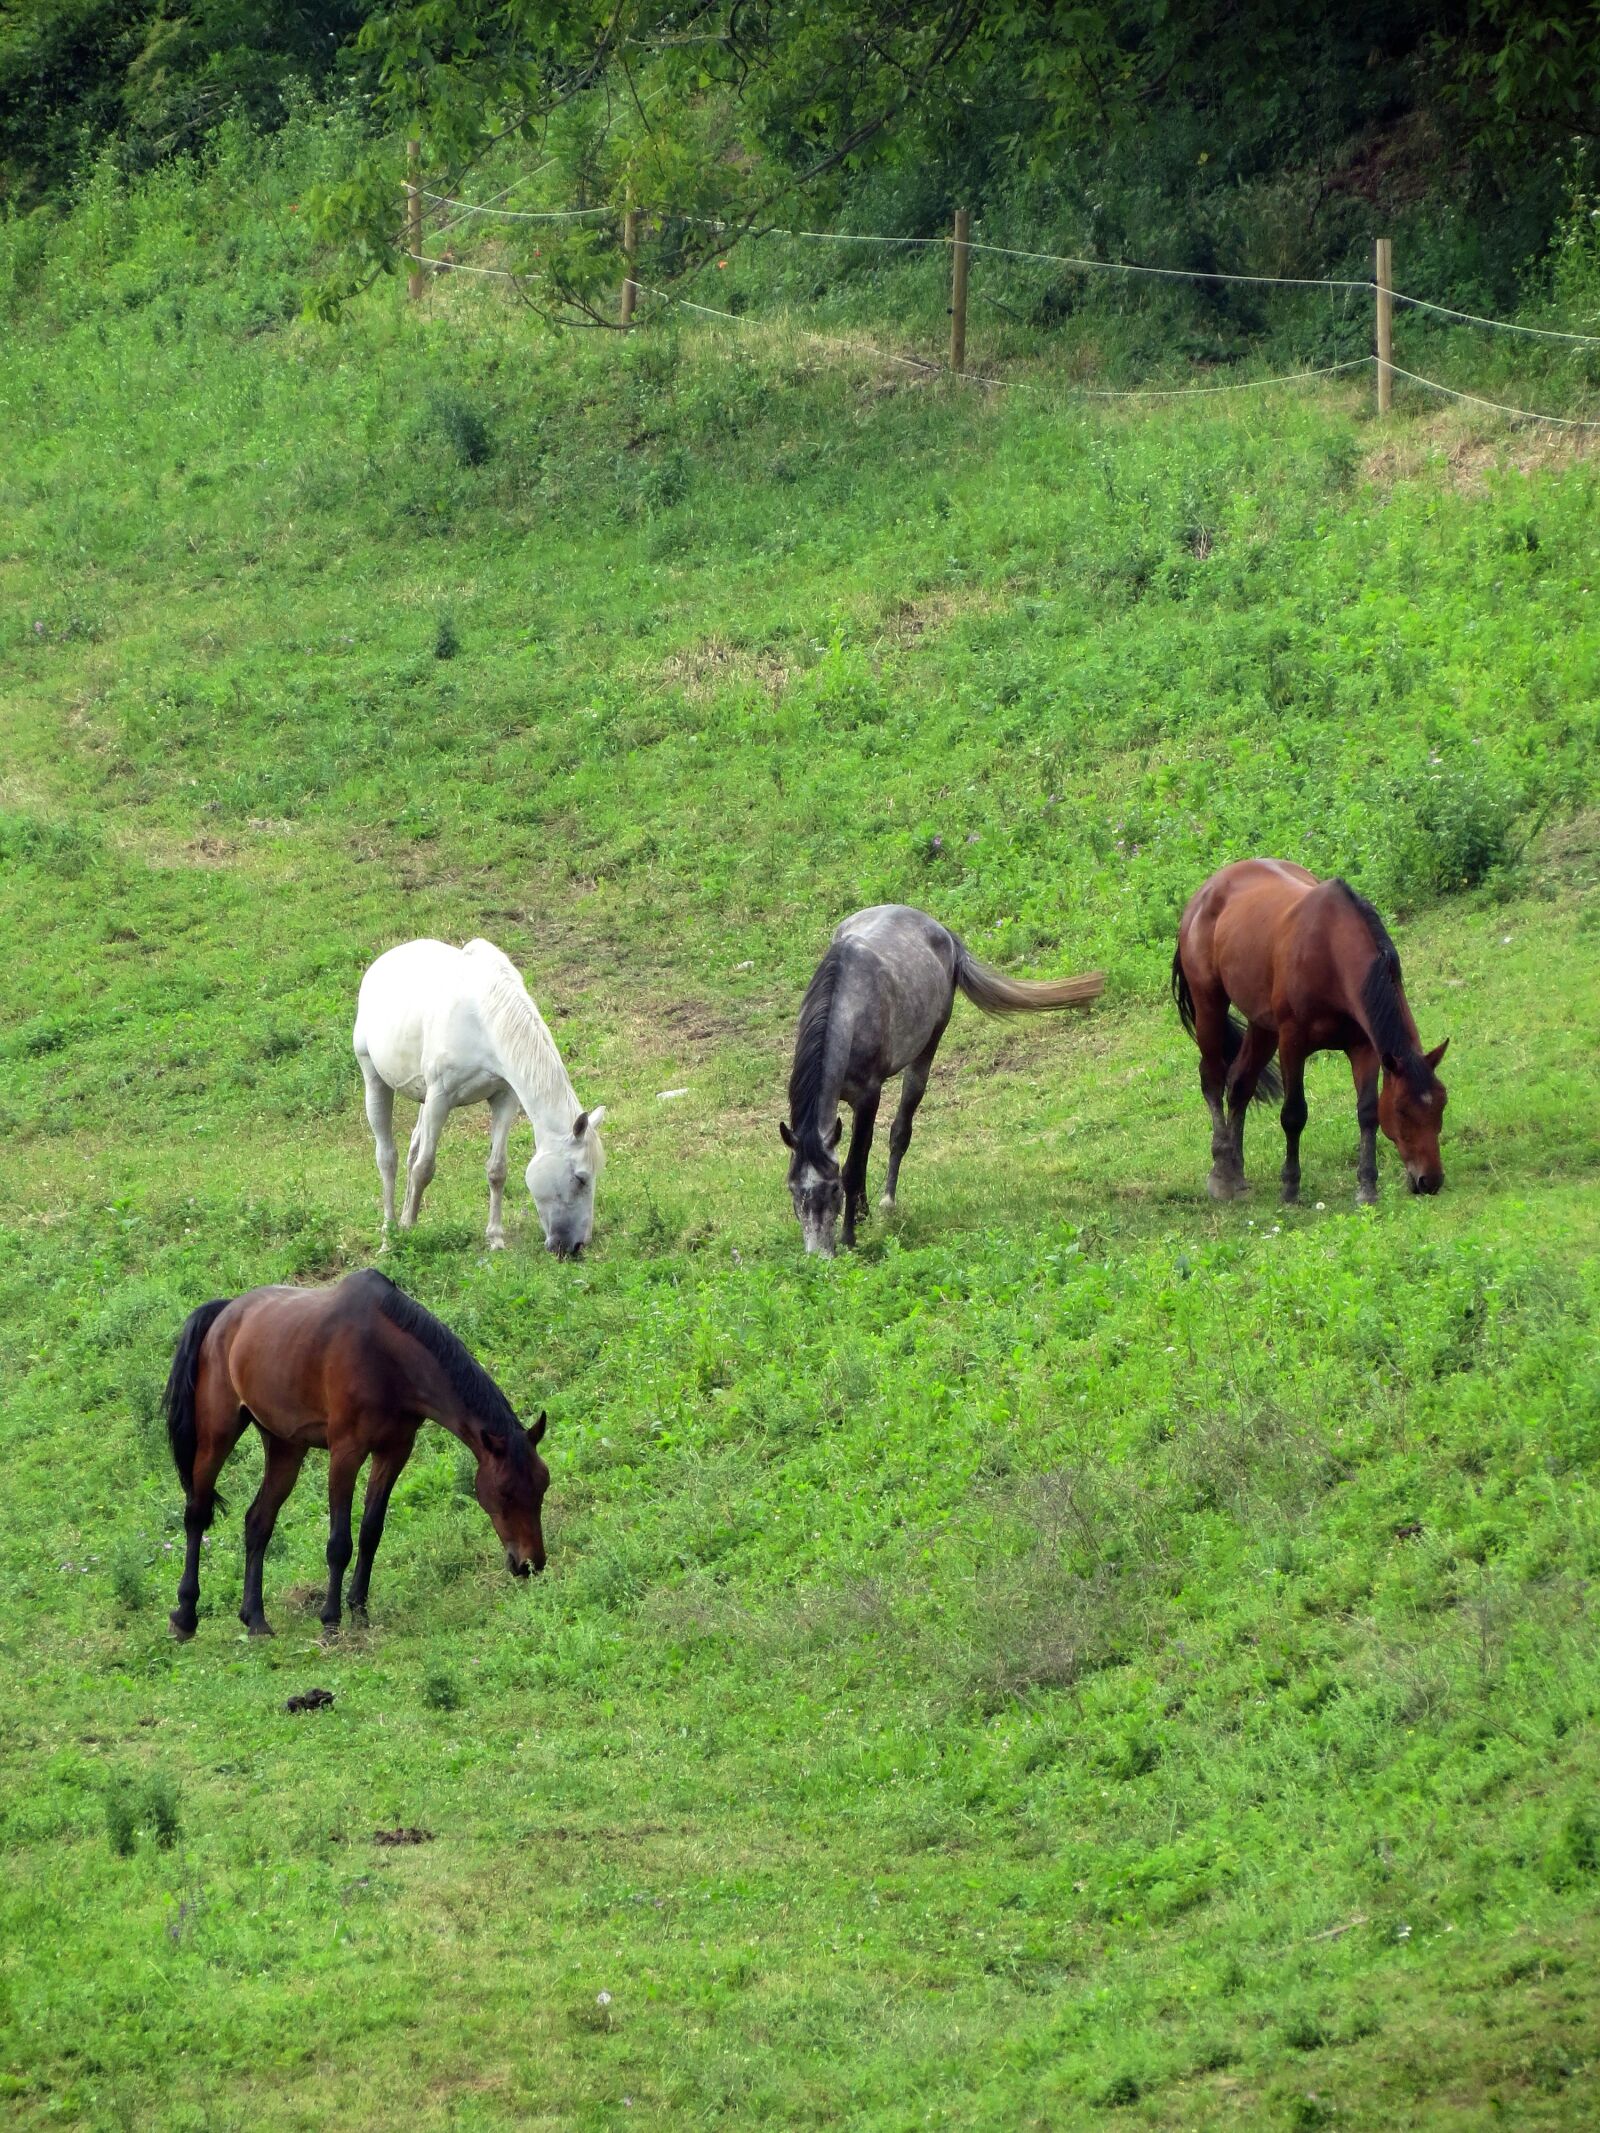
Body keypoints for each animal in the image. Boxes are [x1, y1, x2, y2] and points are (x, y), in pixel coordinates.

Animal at [163, 1271, 550, 1638]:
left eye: (542, 1487)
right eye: (505, 1493)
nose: (530, 1563)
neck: (385, 1356)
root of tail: (225, 1313)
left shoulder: (394, 1452)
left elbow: (370, 1533)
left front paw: (360, 1612)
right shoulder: (345, 1454)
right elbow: (340, 1543)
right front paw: (331, 1620)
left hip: (286, 1448)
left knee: (258, 1521)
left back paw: (256, 1619)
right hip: (217, 1436)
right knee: (196, 1515)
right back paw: (185, 1615)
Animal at [354, 942, 605, 1254]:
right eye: (580, 1178)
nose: (576, 1245)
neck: (482, 1018)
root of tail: (382, 962)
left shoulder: (504, 1098)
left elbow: (497, 1170)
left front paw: (495, 1238)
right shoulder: (440, 1098)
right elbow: (425, 1169)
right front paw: (410, 1229)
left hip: (423, 1098)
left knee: (412, 1151)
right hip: (375, 1080)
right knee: (388, 1159)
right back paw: (389, 1236)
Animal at [785, 900, 1109, 1245]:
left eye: (833, 1190)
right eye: (793, 1190)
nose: (820, 1251)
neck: (848, 1007)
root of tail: (941, 930)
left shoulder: (868, 1096)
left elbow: (855, 1164)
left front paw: (849, 1235)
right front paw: (858, 1216)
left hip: (927, 1050)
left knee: (900, 1132)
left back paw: (888, 1202)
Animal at [1177, 861, 1450, 1203]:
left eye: (1442, 1104)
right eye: (1402, 1111)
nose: (1430, 1180)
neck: (1330, 952)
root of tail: (1204, 893)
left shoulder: (1365, 1047)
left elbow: (1368, 1112)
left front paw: (1367, 1186)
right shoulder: (1292, 1042)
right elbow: (1294, 1114)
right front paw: (1290, 1186)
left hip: (1262, 1026)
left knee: (1240, 1083)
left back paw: (1237, 1172)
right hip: (1210, 1005)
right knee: (1212, 1079)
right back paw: (1222, 1174)